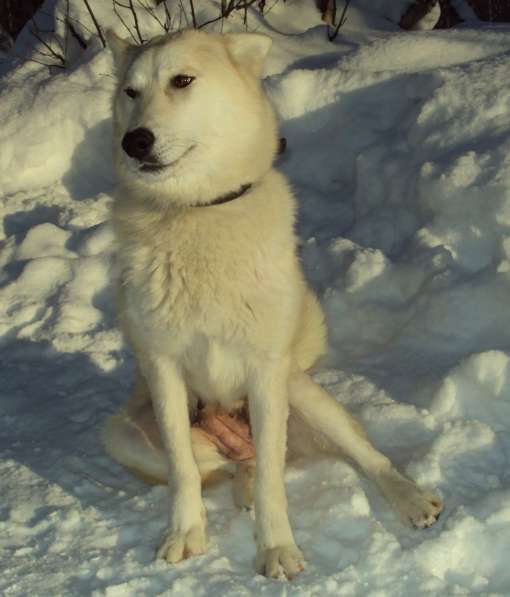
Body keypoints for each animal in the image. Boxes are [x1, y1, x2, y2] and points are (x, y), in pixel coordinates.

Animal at [103, 29, 442, 576]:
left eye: (182, 81)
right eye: (130, 92)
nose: (134, 141)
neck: (196, 212)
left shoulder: (265, 370)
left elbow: (272, 479)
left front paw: (277, 548)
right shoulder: (163, 369)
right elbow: (183, 470)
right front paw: (185, 533)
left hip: (300, 393)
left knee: (360, 456)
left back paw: (411, 499)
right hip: (122, 433)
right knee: (228, 466)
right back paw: (236, 485)